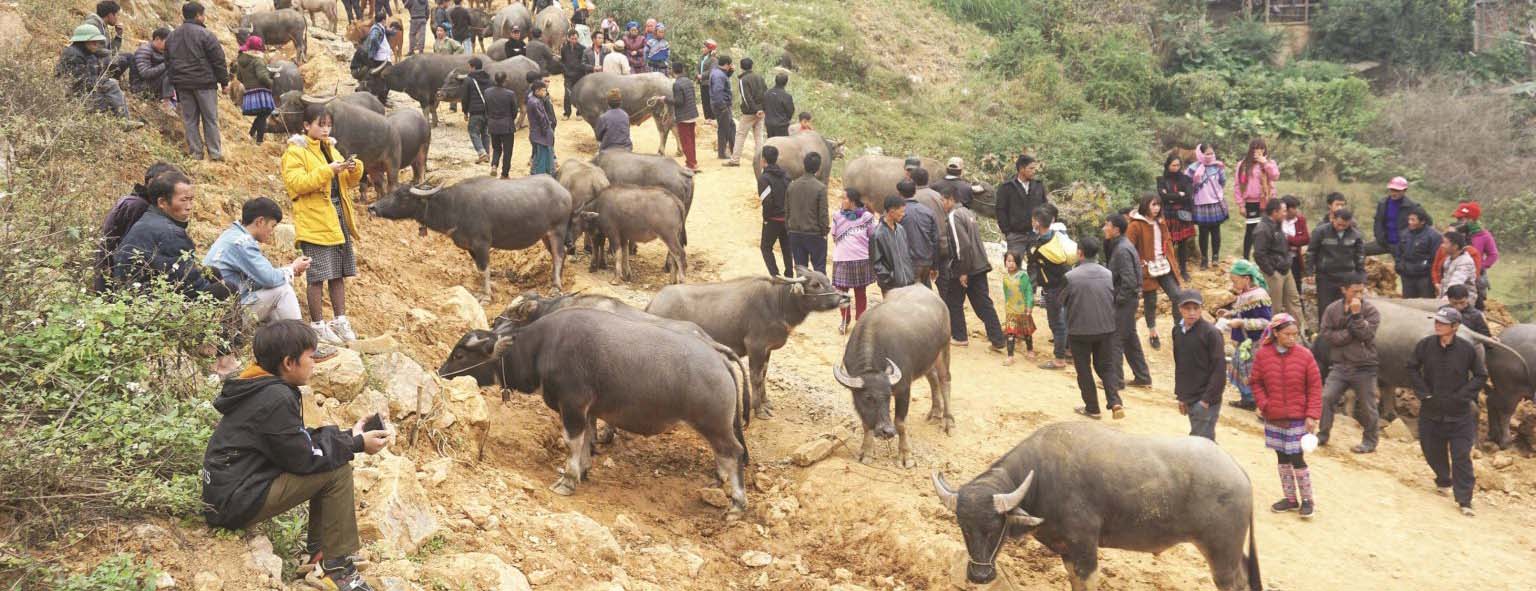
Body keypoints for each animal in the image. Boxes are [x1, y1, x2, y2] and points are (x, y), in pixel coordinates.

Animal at [365, 174, 571, 294]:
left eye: (402, 196)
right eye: (391, 192)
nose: (372, 207)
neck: (453, 206)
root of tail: (564, 192)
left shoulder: (482, 244)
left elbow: (485, 268)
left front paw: (486, 295)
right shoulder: (470, 247)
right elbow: (479, 270)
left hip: (558, 229)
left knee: (559, 255)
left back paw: (556, 286)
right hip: (544, 235)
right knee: (558, 254)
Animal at [473, 308, 749, 509]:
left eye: (464, 352)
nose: (453, 372)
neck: (544, 347)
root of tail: (719, 359)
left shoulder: (572, 407)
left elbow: (572, 443)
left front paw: (568, 480)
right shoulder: (586, 412)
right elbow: (585, 441)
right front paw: (583, 471)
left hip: (714, 423)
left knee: (734, 452)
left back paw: (737, 503)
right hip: (716, 426)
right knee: (723, 453)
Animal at [645, 270, 847, 417]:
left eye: (827, 279)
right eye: (815, 284)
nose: (843, 298)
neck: (777, 304)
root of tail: (653, 302)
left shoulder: (767, 349)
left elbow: (763, 374)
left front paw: (766, 402)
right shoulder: (755, 347)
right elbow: (755, 377)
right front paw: (758, 410)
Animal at [829, 282, 946, 466]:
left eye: (888, 396)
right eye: (868, 398)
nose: (887, 432)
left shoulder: (904, 389)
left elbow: (900, 423)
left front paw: (905, 456)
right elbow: (866, 423)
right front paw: (867, 451)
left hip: (944, 347)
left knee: (945, 380)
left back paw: (949, 422)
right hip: (928, 358)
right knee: (933, 378)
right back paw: (935, 413)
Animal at [927, 420, 1265, 586]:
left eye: (995, 525)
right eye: (963, 527)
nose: (979, 576)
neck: (1042, 478)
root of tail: (1239, 473)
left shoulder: (1086, 551)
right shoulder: (1068, 553)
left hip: (1221, 554)